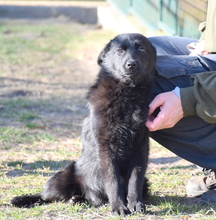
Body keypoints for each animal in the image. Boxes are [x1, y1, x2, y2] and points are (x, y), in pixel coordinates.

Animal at [10, 32, 155, 215]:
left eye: (141, 49)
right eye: (120, 51)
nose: (131, 64)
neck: (127, 96)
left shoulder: (140, 148)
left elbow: (134, 181)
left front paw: (135, 204)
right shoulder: (105, 149)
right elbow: (113, 182)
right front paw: (119, 207)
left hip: (144, 183)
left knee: (92, 199)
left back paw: (77, 199)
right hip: (62, 178)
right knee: (45, 196)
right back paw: (24, 199)